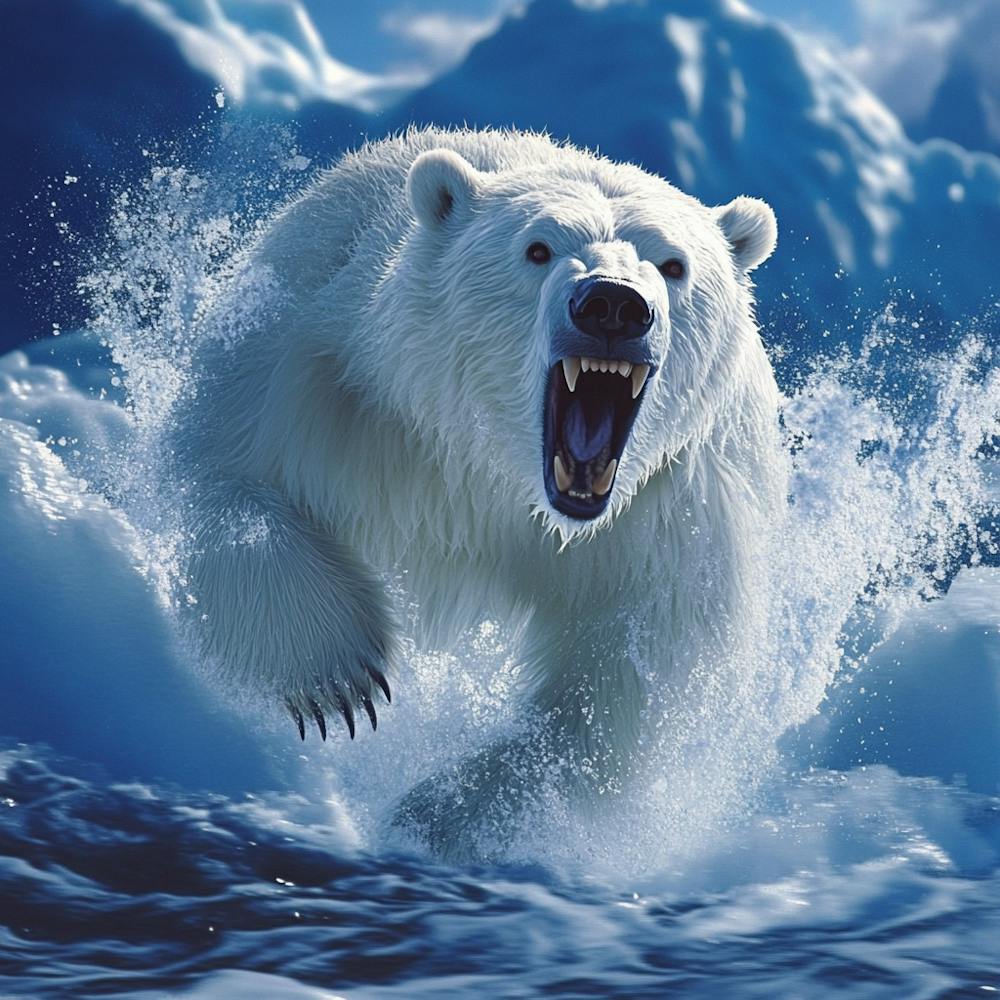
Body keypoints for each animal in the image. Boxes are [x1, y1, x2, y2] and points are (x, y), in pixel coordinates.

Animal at [173, 126, 782, 859]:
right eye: (538, 247)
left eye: (673, 264)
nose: (612, 304)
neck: (498, 470)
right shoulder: (327, 371)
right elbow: (229, 477)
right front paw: (337, 676)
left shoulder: (674, 509)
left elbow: (631, 681)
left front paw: (438, 817)